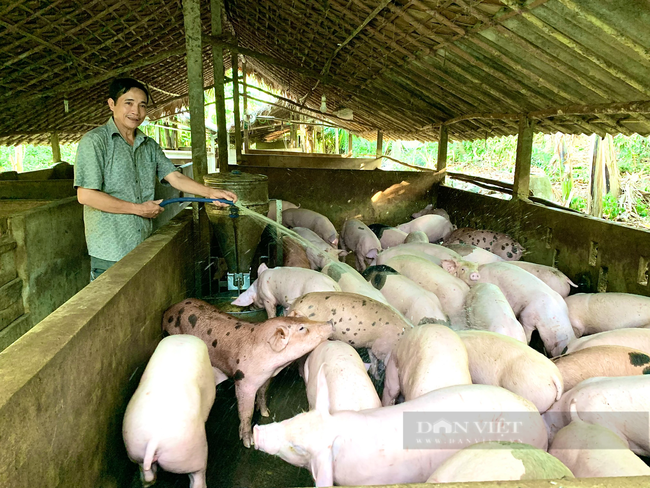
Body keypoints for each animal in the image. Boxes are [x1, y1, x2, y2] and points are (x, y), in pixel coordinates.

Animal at [124, 336, 218, 488]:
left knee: (146, 471)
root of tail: (153, 440)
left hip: (134, 449)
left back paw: (147, 482)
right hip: (192, 454)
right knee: (197, 476)